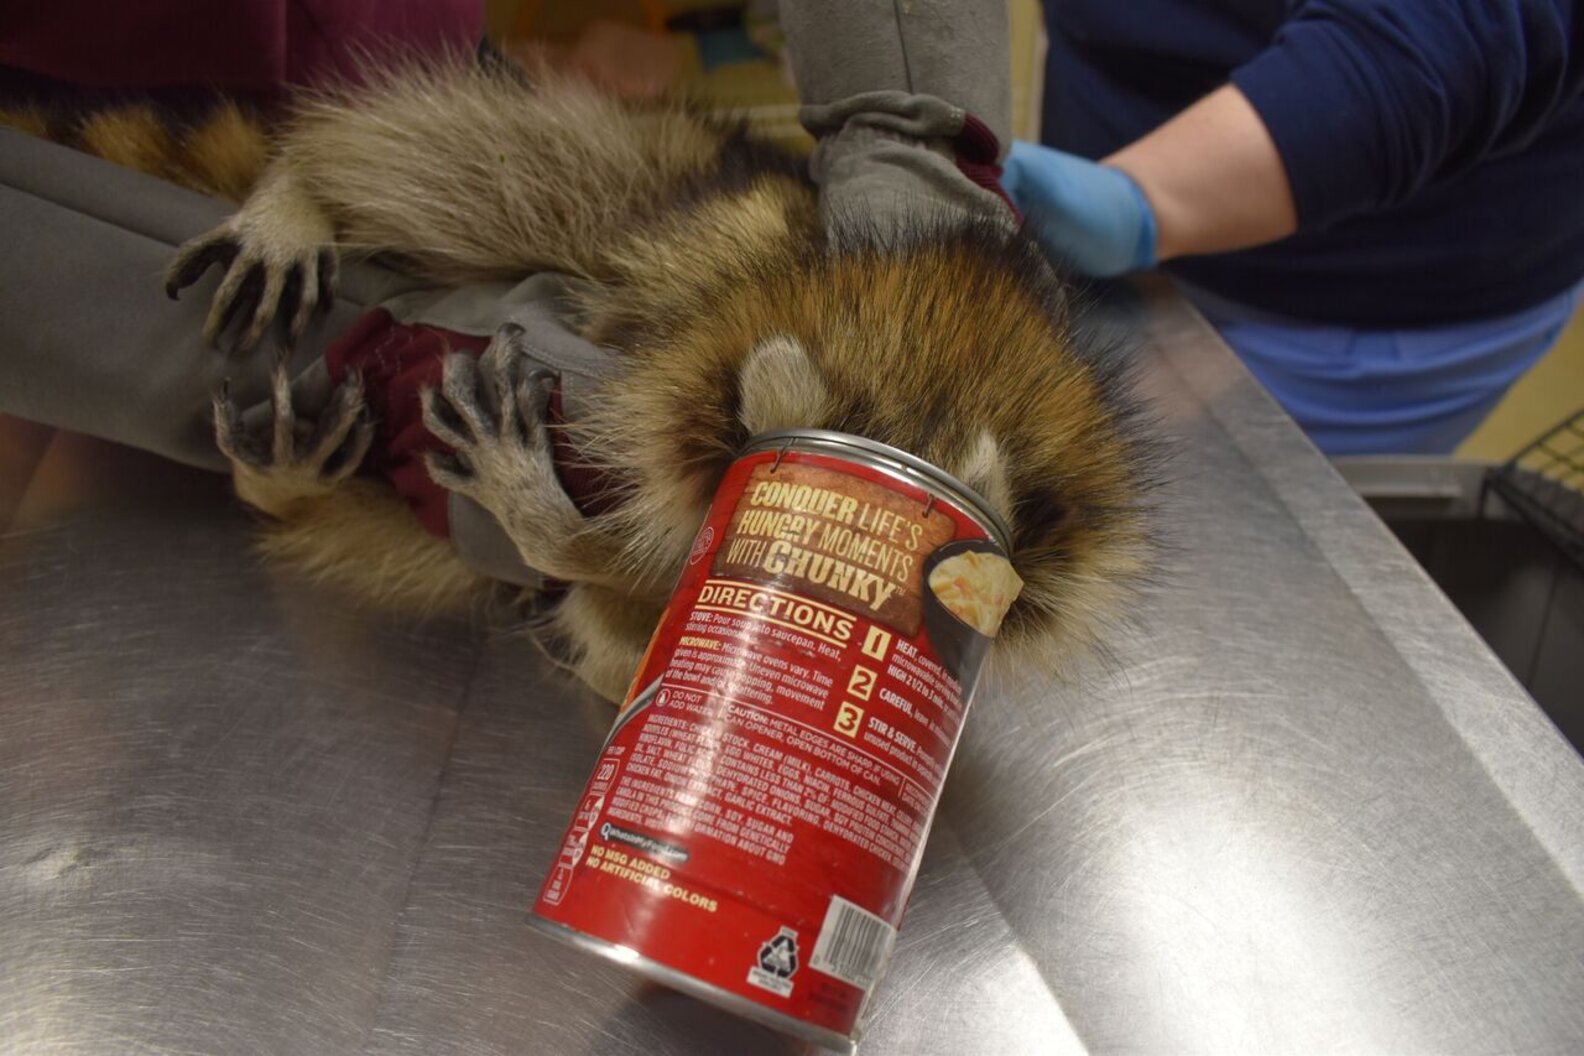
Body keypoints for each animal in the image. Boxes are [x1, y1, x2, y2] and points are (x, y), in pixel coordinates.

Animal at [9, 59, 1156, 703]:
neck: (940, 374)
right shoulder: (735, 261)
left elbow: (631, 611)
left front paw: (565, 539)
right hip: (646, 174)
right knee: (510, 172)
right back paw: (309, 185)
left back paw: (290, 478)